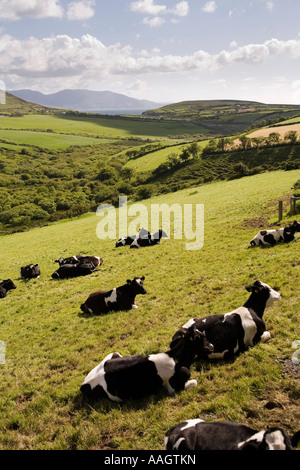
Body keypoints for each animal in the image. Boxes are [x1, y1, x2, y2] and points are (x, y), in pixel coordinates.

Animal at [79, 324, 213, 402]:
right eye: (202, 337)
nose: (212, 346)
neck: (176, 358)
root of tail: (84, 384)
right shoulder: (174, 387)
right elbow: (194, 382)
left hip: (113, 354)